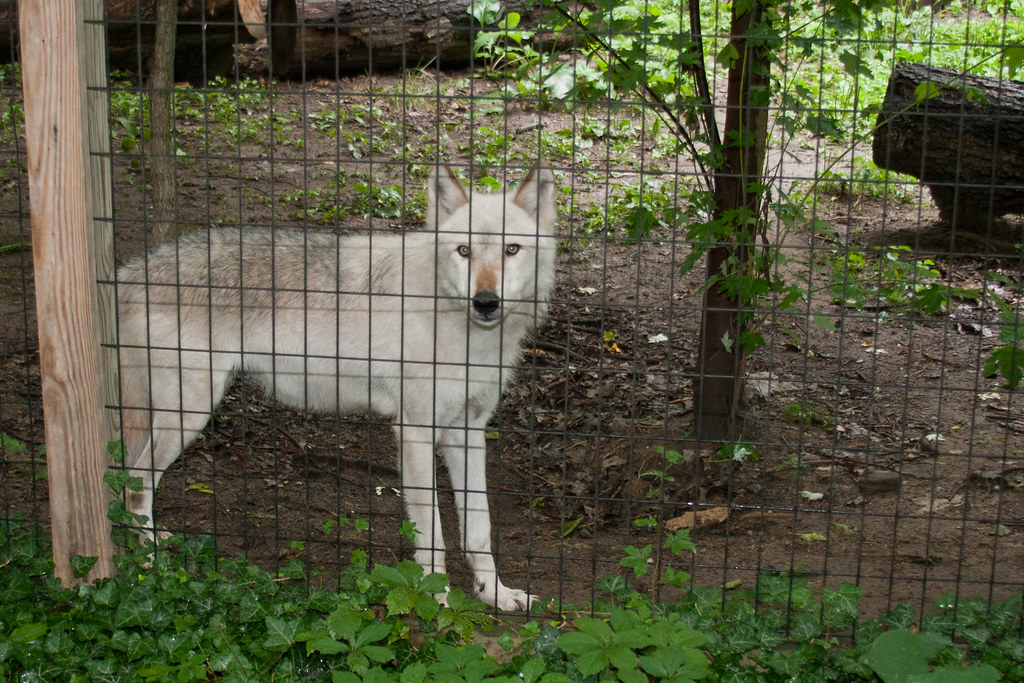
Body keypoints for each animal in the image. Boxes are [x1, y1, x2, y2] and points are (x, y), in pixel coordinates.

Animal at [116, 163, 557, 610]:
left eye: (512, 250)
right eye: (464, 251)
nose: (485, 301)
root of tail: (129, 271)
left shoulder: (467, 432)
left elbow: (480, 529)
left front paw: (495, 593)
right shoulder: (414, 433)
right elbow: (433, 536)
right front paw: (437, 599)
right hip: (190, 415)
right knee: (134, 481)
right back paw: (148, 559)